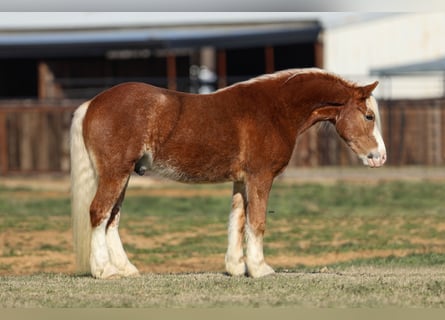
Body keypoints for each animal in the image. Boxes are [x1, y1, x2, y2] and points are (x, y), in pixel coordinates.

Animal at [69, 69, 386, 278]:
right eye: (368, 116)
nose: (380, 157)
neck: (274, 110)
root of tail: (92, 104)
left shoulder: (242, 180)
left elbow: (238, 219)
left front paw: (236, 267)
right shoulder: (260, 177)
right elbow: (257, 222)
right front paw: (260, 269)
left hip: (122, 176)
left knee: (112, 218)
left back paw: (125, 269)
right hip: (115, 173)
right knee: (99, 212)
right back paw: (104, 270)